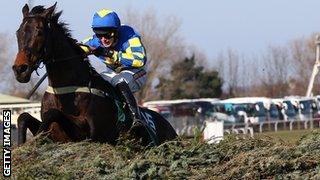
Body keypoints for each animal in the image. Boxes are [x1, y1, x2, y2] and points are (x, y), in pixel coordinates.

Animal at [13, 2, 178, 146]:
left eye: (39, 32)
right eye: (18, 32)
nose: (20, 69)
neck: (67, 90)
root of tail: (171, 128)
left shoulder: (89, 134)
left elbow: (53, 114)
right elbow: (23, 117)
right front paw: (22, 145)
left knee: (122, 82)